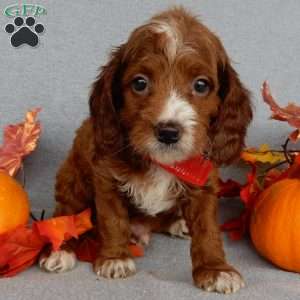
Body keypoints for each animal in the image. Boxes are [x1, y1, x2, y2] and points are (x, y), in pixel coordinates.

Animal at [39, 7, 251, 296]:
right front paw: (115, 258)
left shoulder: (204, 183)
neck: (161, 162)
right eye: (140, 83)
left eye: (201, 85)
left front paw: (216, 269)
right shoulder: (105, 178)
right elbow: (112, 220)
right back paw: (61, 251)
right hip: (72, 178)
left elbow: (208, 230)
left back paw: (177, 223)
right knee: (66, 214)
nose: (168, 132)